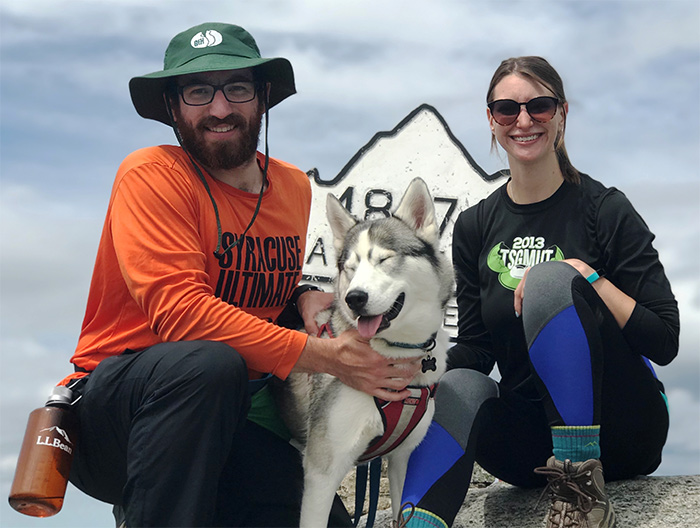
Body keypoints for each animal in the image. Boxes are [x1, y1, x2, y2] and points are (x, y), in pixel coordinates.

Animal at [274, 178, 454, 528]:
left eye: (384, 259)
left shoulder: (401, 458)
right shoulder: (322, 471)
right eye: (351, 268)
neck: (397, 351)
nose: (355, 298)